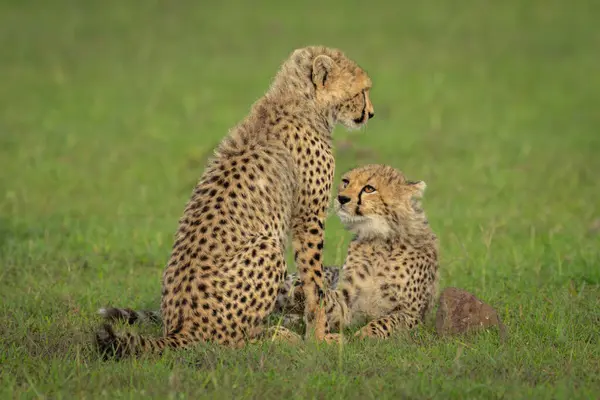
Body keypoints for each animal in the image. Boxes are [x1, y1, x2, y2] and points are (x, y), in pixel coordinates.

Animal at [94, 45, 376, 358]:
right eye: (361, 92)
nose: (371, 113)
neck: (298, 101)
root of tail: (179, 329)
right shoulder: (309, 217)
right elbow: (315, 284)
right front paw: (318, 338)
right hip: (267, 247)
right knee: (230, 343)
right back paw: (277, 338)